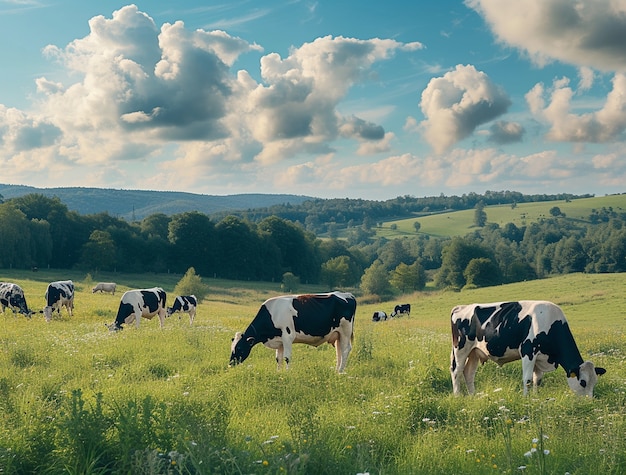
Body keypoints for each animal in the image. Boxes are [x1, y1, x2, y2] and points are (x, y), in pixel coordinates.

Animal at [448, 302, 604, 398]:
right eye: (583, 382)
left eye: (595, 382)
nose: (589, 403)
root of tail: (461, 307)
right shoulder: (528, 351)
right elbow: (527, 379)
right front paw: (525, 398)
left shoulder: (540, 357)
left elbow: (537, 379)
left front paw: (535, 397)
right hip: (461, 348)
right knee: (456, 371)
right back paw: (457, 396)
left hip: (474, 352)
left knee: (468, 373)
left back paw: (473, 396)